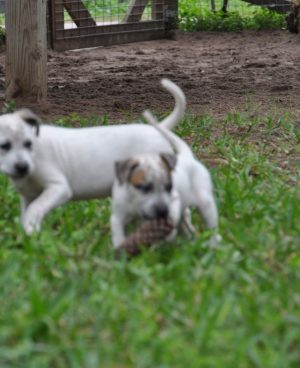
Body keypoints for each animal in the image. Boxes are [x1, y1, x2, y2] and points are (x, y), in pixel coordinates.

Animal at [0, 79, 185, 234]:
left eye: (28, 144)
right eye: (4, 146)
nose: (22, 167)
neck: (34, 155)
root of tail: (157, 129)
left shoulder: (58, 188)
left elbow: (35, 209)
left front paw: (31, 231)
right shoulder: (28, 197)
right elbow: (28, 211)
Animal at [110, 109, 218, 247]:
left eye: (169, 187)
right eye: (143, 187)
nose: (162, 211)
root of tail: (187, 157)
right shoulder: (118, 215)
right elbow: (118, 232)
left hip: (206, 202)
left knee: (212, 226)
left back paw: (213, 244)